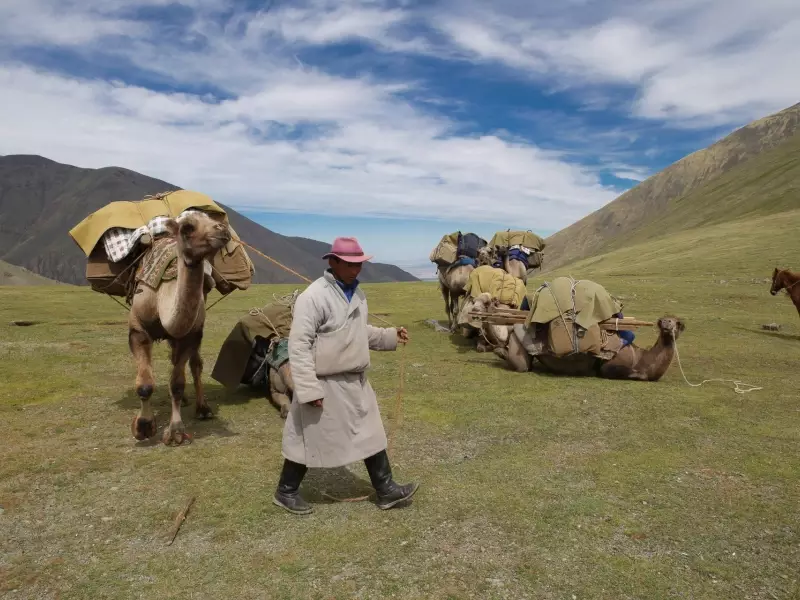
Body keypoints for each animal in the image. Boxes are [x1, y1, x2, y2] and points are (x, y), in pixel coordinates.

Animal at [126, 212, 230, 446]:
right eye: (187, 227)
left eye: (212, 218)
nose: (223, 230)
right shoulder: (138, 330)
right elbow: (144, 384)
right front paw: (143, 427)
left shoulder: (190, 335)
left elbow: (178, 383)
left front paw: (175, 432)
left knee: (194, 365)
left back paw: (202, 409)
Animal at [496, 314, 684, 380]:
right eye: (663, 320)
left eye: (677, 322)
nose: (666, 324)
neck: (640, 358)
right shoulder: (609, 366)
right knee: (522, 365)